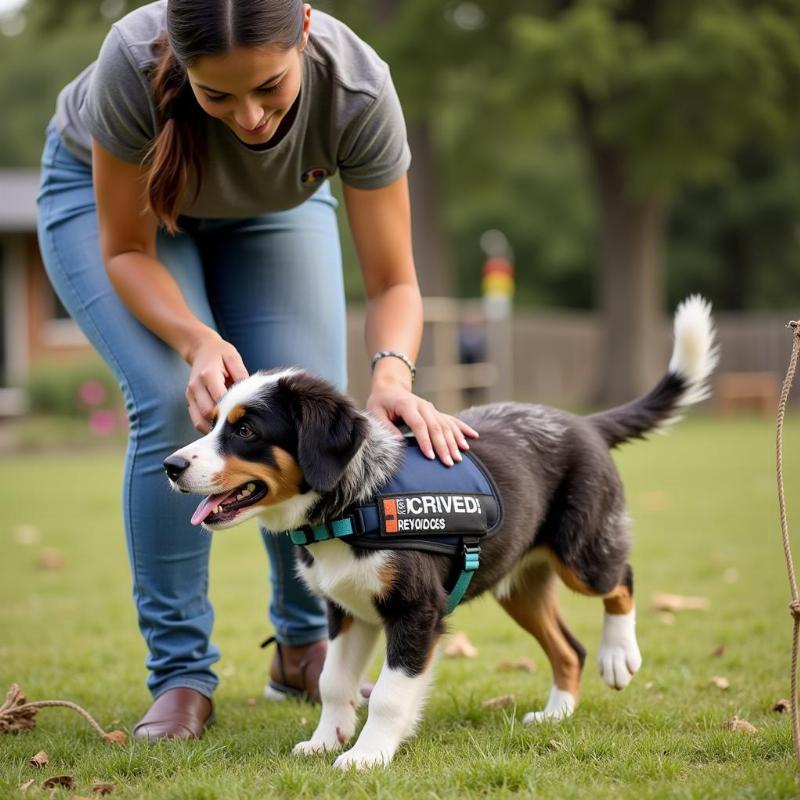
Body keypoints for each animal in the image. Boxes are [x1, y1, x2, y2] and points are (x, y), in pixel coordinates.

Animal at [162, 296, 720, 768]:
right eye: (212, 423)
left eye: (246, 430)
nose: (171, 466)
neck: (352, 505)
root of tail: (584, 424)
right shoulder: (347, 610)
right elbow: (334, 680)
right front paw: (326, 740)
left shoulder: (416, 610)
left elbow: (388, 695)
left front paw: (367, 755)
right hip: (518, 586)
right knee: (568, 648)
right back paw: (556, 713)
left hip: (582, 551)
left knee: (620, 579)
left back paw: (619, 656)